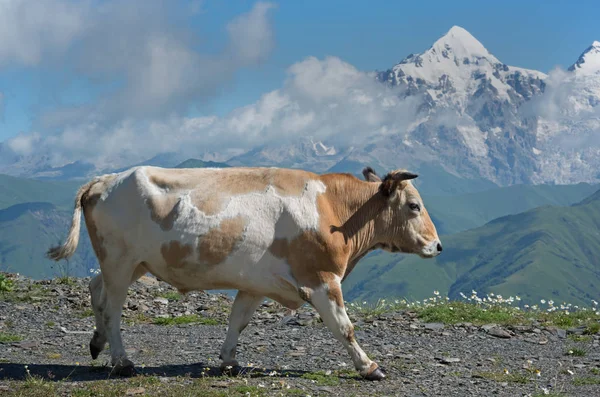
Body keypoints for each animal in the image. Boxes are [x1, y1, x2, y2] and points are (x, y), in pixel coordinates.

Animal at [45, 165, 440, 380]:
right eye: (413, 205)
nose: (437, 246)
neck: (333, 210)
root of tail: (104, 179)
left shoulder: (256, 282)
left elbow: (239, 320)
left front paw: (229, 360)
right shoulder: (321, 280)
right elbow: (344, 327)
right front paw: (370, 366)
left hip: (130, 264)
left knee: (96, 289)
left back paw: (97, 344)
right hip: (120, 260)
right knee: (112, 307)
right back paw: (122, 361)